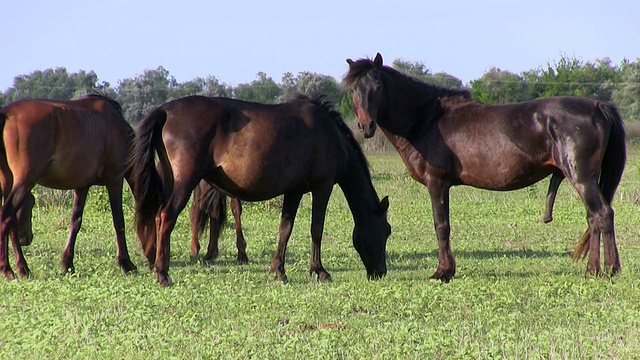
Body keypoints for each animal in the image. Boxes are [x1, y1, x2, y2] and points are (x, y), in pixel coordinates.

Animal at [0, 93, 138, 278]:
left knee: (11, 222)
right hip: (24, 181)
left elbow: (75, 222)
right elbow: (119, 222)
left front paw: (68, 264)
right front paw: (126, 263)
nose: (27, 239)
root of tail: (7, 113)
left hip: (8, 182)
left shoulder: (82, 186)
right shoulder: (115, 180)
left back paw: (21, 267)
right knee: (5, 216)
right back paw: (7, 269)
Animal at [129, 94, 390, 286]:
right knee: (166, 217)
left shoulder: (294, 191)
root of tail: (167, 110)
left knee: (158, 216)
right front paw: (319, 271)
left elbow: (285, 228)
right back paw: (162, 274)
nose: (380, 272)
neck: (327, 132)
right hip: (185, 182)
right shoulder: (322, 187)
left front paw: (279, 270)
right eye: (386, 231)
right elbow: (316, 230)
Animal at [344, 52, 624, 282]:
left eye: (378, 86)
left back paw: (609, 269)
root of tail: (599, 106)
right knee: (593, 218)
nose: (366, 126)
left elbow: (441, 226)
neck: (426, 119)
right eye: (353, 89)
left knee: (602, 215)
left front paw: (442, 272)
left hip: (582, 178)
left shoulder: (437, 183)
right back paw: (594, 270)